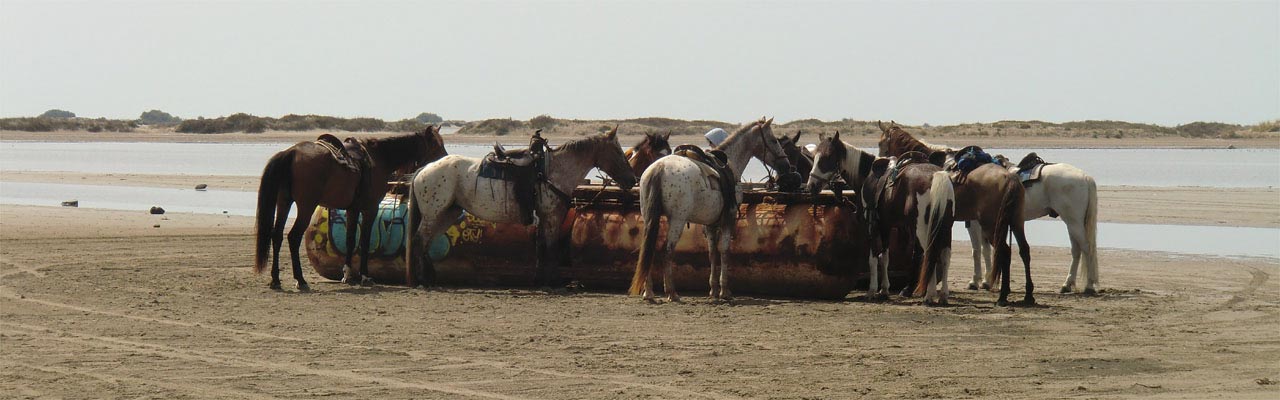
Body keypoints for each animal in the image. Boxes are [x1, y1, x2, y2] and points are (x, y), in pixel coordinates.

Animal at [252, 127, 448, 291]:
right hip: (306, 205)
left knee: (276, 235)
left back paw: (275, 280)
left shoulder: (352, 209)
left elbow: (350, 240)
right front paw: (365, 276)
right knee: (293, 237)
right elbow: (364, 242)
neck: (380, 158)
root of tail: (291, 152)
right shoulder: (370, 208)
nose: (445, 161)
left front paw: (347, 275)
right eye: (438, 147)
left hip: (284, 202)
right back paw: (300, 280)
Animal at [401, 128, 637, 287]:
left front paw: (539, 279)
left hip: (448, 213)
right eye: (618, 151)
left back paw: (430, 277)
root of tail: (424, 169)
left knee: (426, 242)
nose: (632, 179)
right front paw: (554, 281)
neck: (553, 171)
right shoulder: (551, 216)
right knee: (419, 240)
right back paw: (424, 280)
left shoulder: (545, 217)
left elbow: (541, 247)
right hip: (434, 214)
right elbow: (550, 247)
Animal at [627, 117, 793, 301]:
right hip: (677, 220)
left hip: (650, 218)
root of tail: (659, 169)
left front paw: (713, 290)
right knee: (667, 251)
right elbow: (724, 251)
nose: (786, 165)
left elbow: (712, 253)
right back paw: (671, 292)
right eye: (774, 140)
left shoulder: (710, 224)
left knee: (647, 250)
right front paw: (724, 291)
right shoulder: (729, 217)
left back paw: (648, 292)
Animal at [803, 132, 957, 305]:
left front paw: (872, 290)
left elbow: (874, 258)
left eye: (827, 157)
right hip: (945, 227)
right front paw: (884, 290)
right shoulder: (886, 225)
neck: (867, 175)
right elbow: (885, 257)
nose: (811, 186)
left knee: (930, 253)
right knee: (944, 256)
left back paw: (929, 295)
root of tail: (936, 176)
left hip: (924, 229)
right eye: (814, 157)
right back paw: (943, 295)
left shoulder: (871, 226)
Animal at [875, 121, 1034, 306]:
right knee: (1024, 250)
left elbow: (919, 253)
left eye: (880, 143)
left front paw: (909, 289)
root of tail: (1010, 178)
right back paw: (1027, 295)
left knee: (1004, 251)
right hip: (1016, 221)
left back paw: (1003, 295)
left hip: (991, 225)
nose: (881, 160)